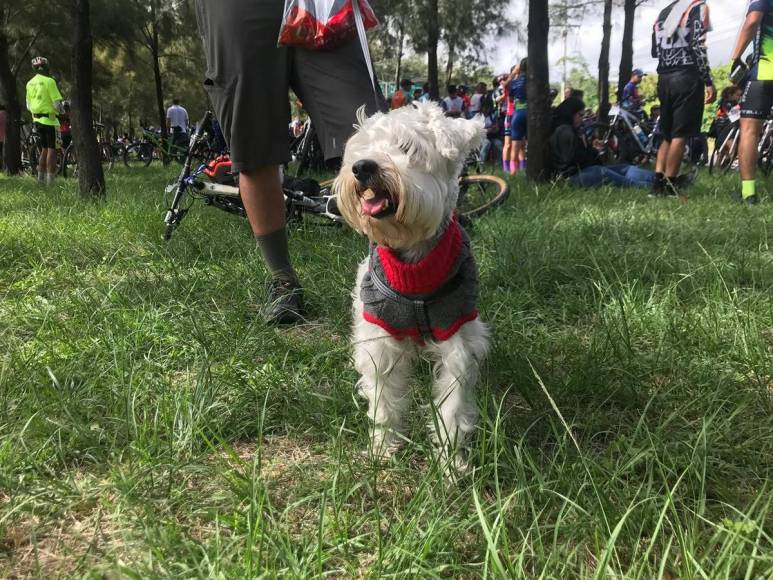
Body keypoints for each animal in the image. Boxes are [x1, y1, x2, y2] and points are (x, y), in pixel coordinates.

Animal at [332, 101, 488, 472]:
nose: (362, 167)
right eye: (364, 148)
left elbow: (453, 406)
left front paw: (450, 464)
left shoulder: (456, 332)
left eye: (407, 147)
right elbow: (383, 399)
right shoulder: (380, 337)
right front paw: (383, 449)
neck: (413, 263)